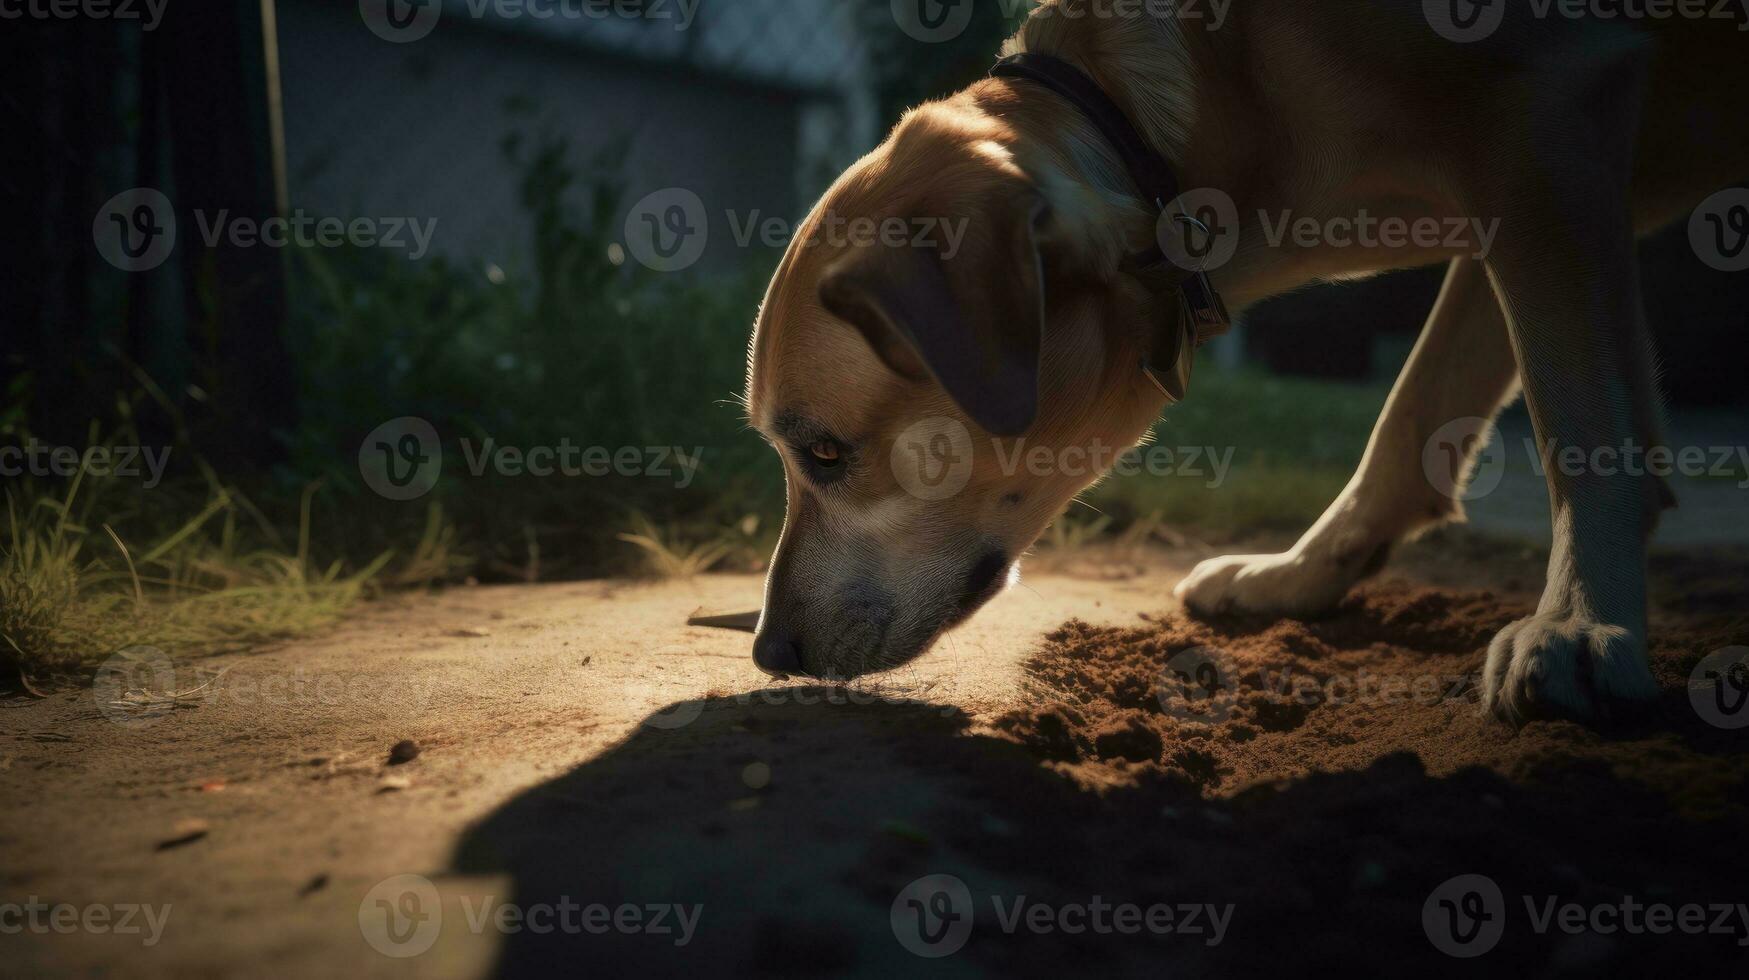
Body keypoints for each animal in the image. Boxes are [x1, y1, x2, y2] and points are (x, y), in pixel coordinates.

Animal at [741, 0, 1749, 724]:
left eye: (825, 452)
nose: (768, 654)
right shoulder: (1513, 200)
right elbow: (1416, 411)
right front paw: (1303, 577)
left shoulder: (1546, 120)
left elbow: (1577, 421)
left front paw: (1580, 623)